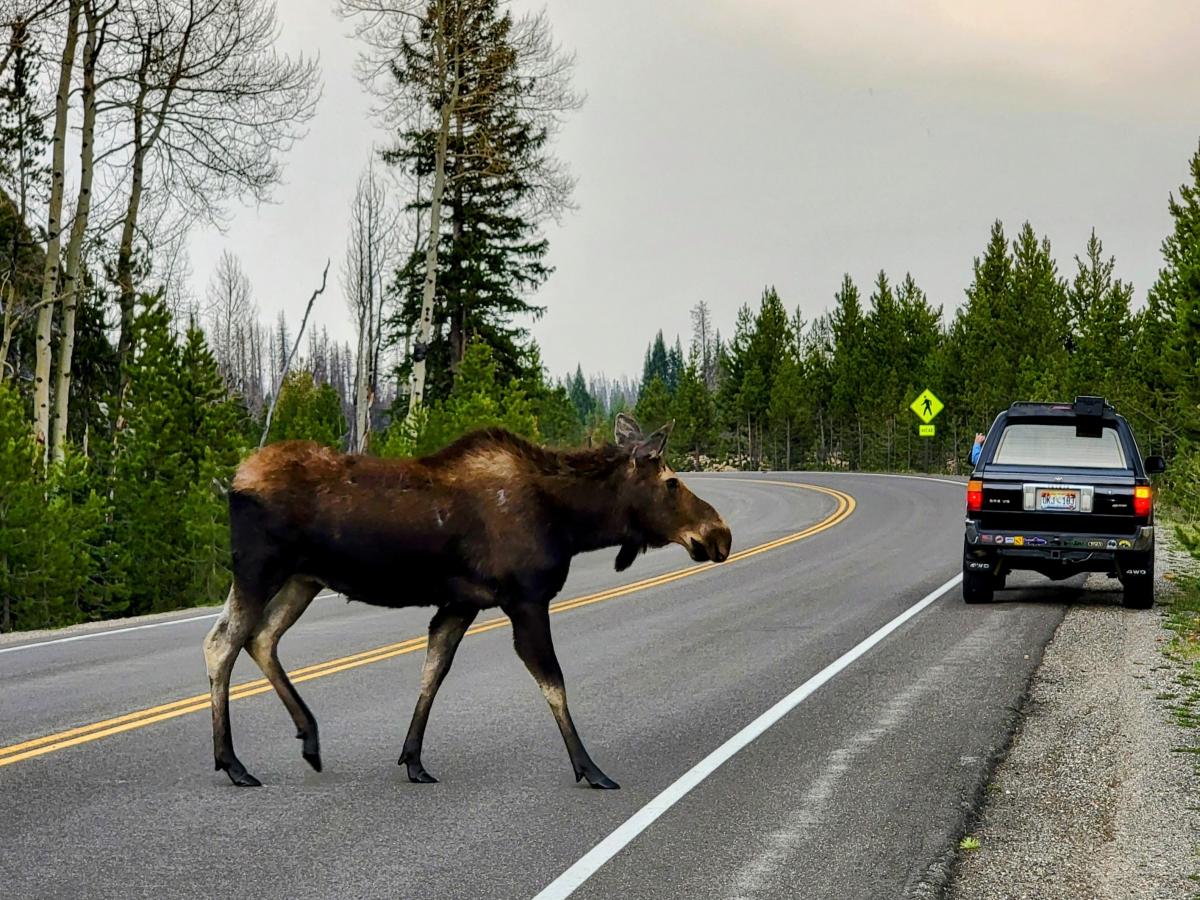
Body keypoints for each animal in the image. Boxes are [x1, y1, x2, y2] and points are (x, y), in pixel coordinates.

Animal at [203, 413, 732, 790]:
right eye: (671, 481)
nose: (720, 533)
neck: (570, 523)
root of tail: (234, 481)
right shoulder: (526, 599)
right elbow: (554, 682)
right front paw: (591, 769)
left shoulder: (463, 603)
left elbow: (433, 671)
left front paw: (413, 760)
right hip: (259, 570)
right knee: (221, 643)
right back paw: (232, 763)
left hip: (302, 580)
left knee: (261, 638)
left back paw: (309, 738)